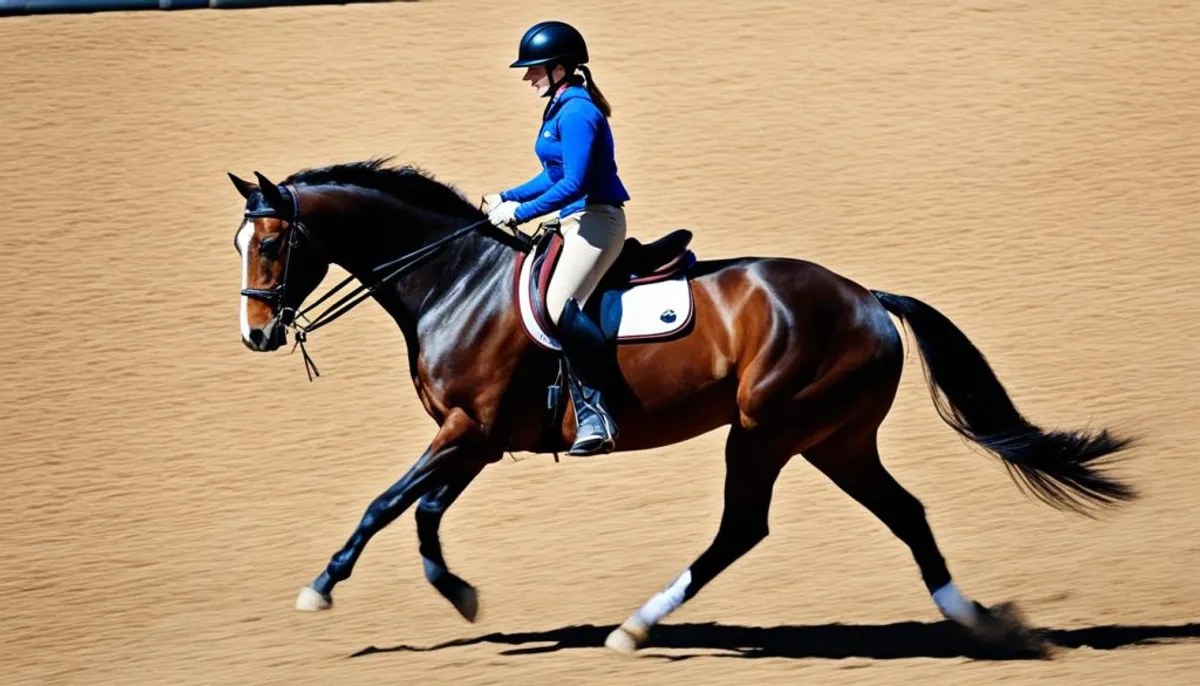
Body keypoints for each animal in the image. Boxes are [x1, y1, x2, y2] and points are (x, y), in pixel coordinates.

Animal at [229, 157, 1137, 652]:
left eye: (271, 243)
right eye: (240, 241)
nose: (258, 336)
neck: (455, 282)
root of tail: (868, 299)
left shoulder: (467, 429)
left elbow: (385, 504)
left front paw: (321, 588)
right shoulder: (479, 437)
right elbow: (423, 513)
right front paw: (458, 593)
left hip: (769, 430)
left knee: (744, 528)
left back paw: (635, 627)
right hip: (834, 437)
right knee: (903, 513)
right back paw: (976, 621)